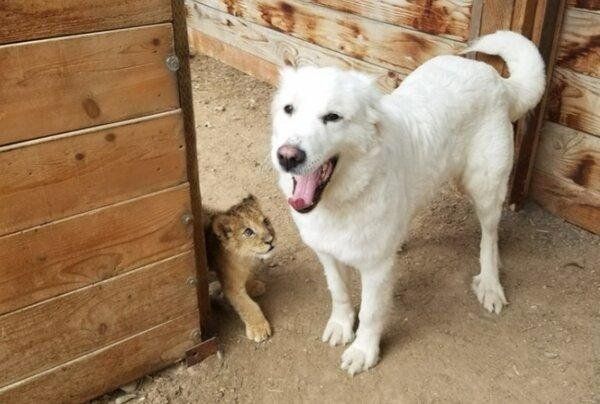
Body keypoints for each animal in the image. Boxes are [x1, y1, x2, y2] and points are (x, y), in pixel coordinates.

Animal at [270, 31, 548, 376]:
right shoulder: (327, 253)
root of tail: (495, 78)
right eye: (289, 109)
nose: (287, 157)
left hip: (484, 187)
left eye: (333, 117)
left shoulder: (375, 269)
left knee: (490, 236)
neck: (345, 196)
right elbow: (338, 292)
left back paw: (490, 284)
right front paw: (341, 325)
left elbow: (372, 313)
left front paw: (363, 350)